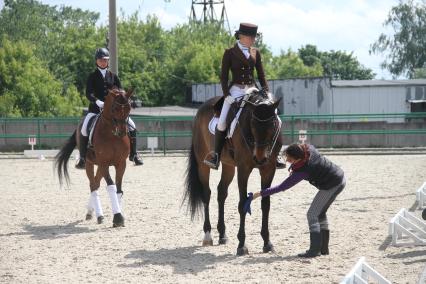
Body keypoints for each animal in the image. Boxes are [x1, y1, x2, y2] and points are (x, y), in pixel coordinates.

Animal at [54, 87, 133, 227]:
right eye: (115, 108)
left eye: (129, 107)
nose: (122, 132)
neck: (112, 135)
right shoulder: (104, 163)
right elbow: (111, 186)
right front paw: (117, 217)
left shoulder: (121, 163)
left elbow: (119, 189)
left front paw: (119, 216)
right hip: (89, 163)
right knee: (93, 185)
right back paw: (98, 215)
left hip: (99, 166)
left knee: (95, 184)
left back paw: (92, 212)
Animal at [183, 88, 282, 255]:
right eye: (253, 124)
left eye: (273, 124)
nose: (260, 158)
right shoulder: (243, 169)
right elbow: (242, 204)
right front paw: (242, 245)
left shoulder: (268, 169)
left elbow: (266, 204)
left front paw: (267, 242)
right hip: (203, 165)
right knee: (206, 194)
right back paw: (208, 235)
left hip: (229, 166)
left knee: (221, 192)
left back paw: (222, 234)